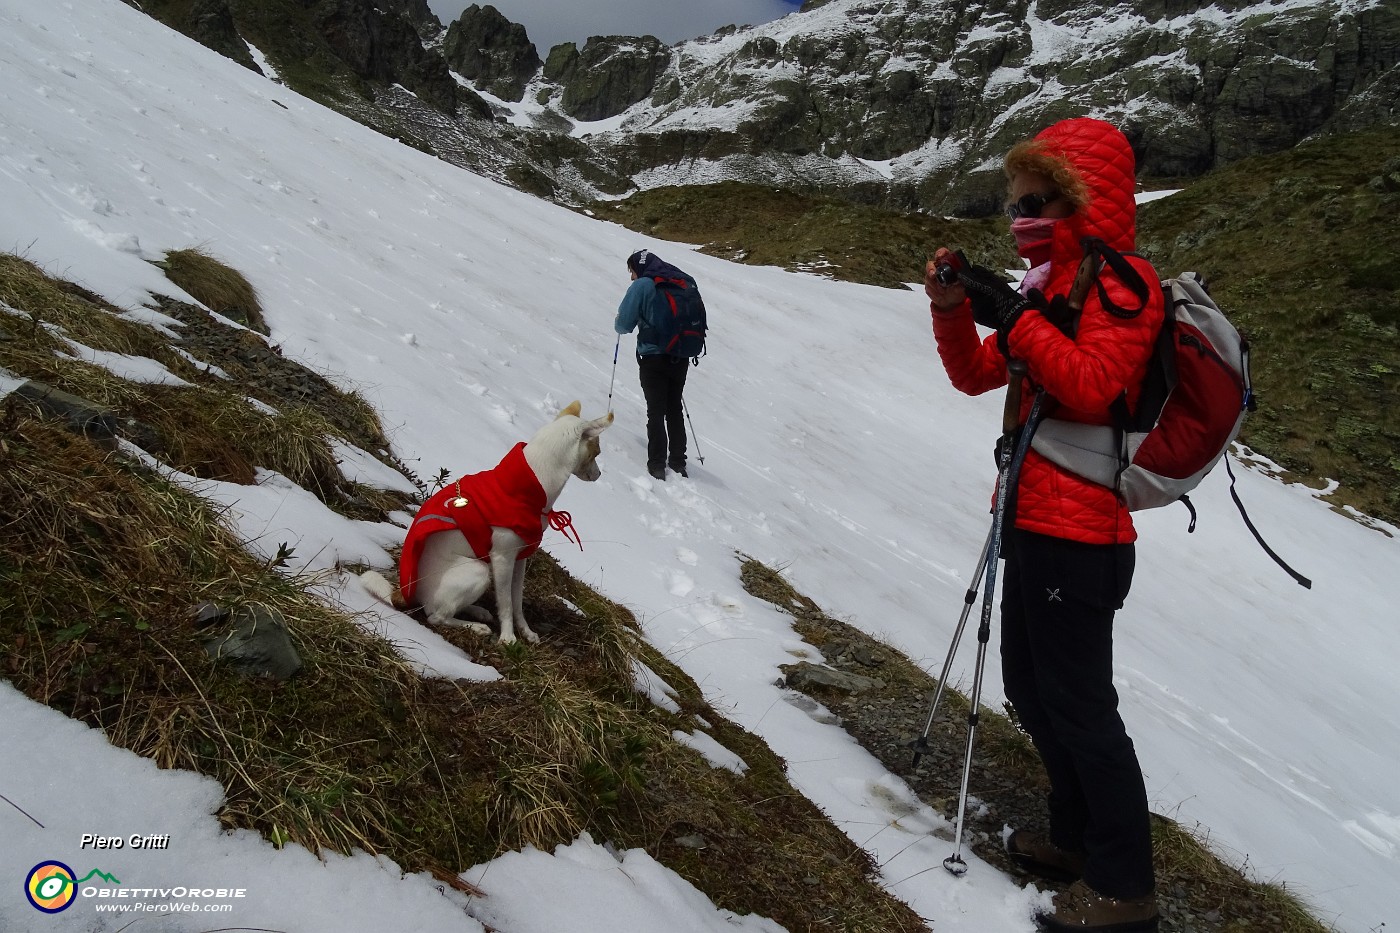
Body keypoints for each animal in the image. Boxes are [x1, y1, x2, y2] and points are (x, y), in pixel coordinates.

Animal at [364, 400, 616, 638]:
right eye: (597, 452)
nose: (599, 474)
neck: (528, 485)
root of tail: (403, 593)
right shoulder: (502, 559)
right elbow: (505, 604)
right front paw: (508, 637)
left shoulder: (520, 558)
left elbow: (516, 602)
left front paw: (525, 632)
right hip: (479, 569)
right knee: (436, 616)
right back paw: (475, 626)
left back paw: (477, 611)